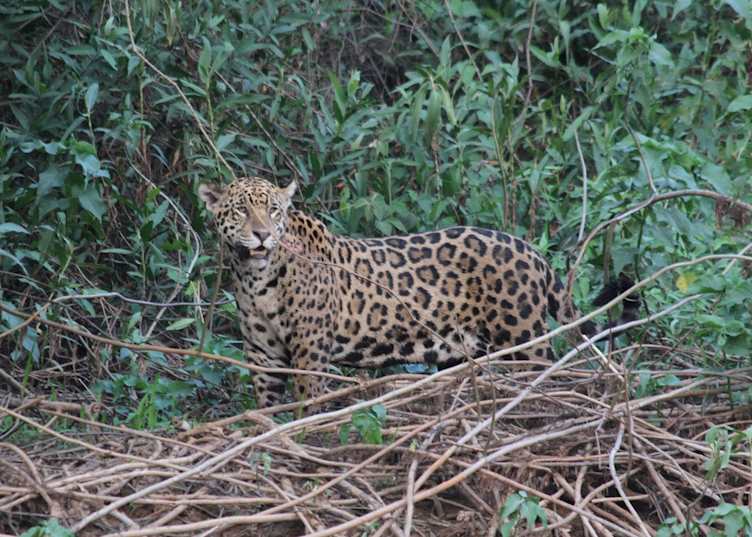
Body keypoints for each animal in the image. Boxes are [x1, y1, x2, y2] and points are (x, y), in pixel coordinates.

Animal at [198, 177, 639, 409]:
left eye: (273, 211)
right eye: (241, 210)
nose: (261, 235)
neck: (256, 277)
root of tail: (530, 250)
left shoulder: (310, 351)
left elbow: (308, 403)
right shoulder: (262, 354)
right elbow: (268, 407)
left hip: (523, 338)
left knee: (547, 371)